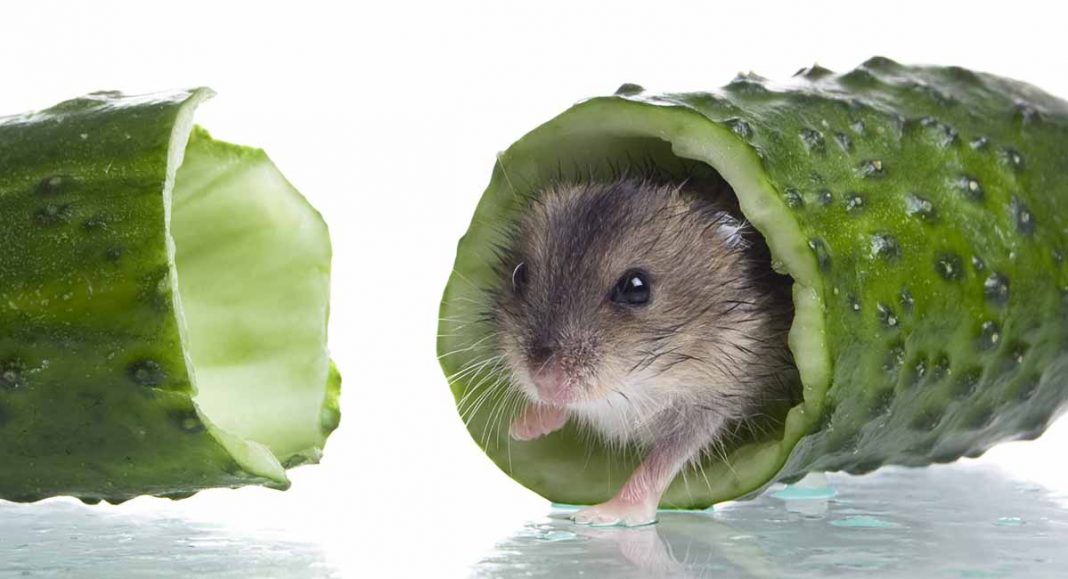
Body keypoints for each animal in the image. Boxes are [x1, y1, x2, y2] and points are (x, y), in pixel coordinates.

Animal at [494, 176, 799, 526]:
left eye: (636, 288)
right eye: (520, 274)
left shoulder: (710, 401)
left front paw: (598, 516)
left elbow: (661, 462)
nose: (545, 383)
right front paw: (523, 429)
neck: (643, 385)